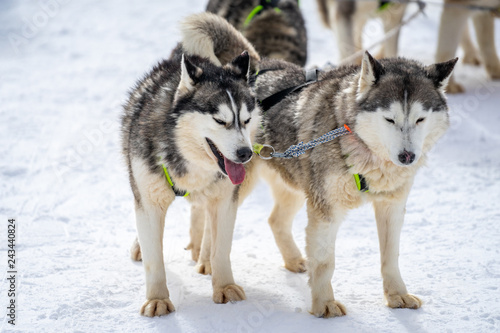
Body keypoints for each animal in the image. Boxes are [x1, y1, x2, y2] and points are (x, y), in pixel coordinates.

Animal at [121, 14, 262, 316]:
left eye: (246, 120)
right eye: (220, 121)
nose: (245, 154)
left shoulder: (226, 199)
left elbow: (222, 248)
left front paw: (224, 286)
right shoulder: (149, 201)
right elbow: (154, 258)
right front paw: (157, 299)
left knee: (204, 216)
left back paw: (204, 255)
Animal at [181, 14, 458, 316]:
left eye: (420, 119)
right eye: (389, 119)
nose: (407, 157)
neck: (361, 148)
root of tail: (258, 66)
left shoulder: (391, 206)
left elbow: (390, 257)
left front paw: (397, 295)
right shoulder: (325, 209)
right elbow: (326, 262)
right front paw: (324, 304)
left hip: (294, 184)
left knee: (274, 220)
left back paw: (292, 260)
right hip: (240, 185)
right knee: (208, 214)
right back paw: (206, 260)